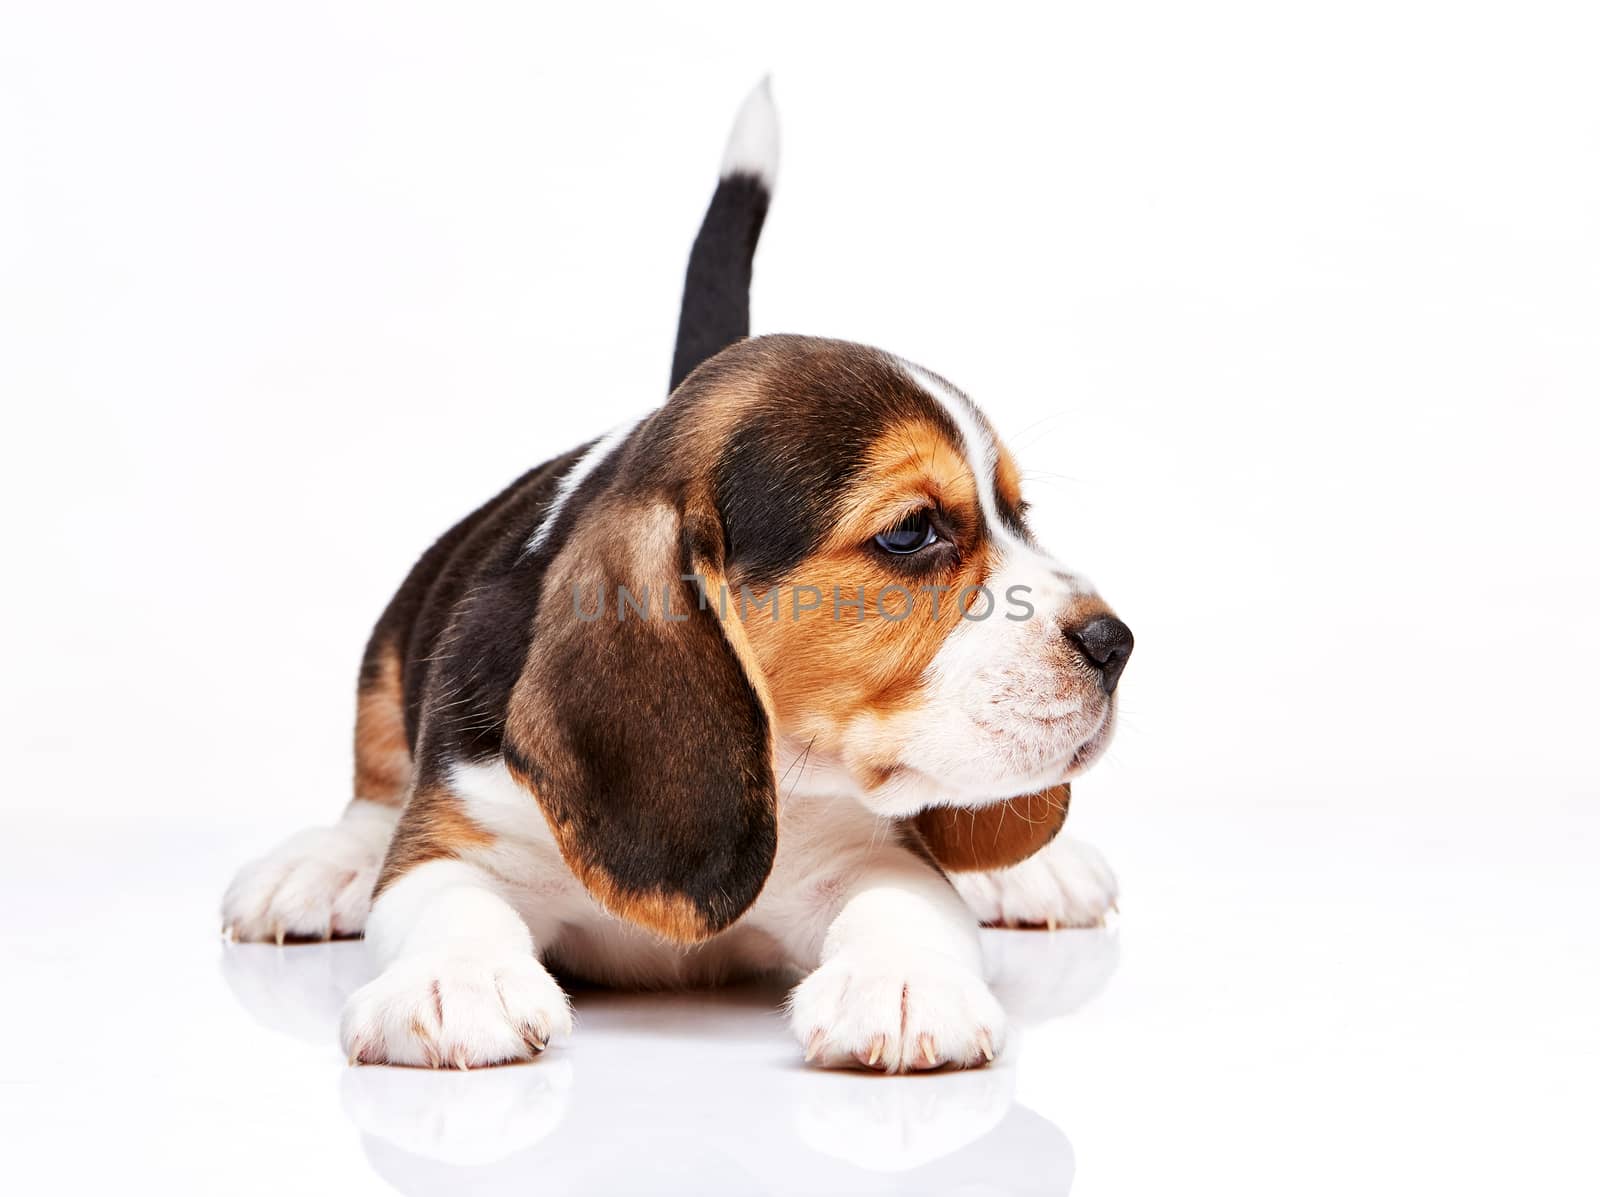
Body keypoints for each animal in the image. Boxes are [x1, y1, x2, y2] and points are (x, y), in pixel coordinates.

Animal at [225, 84, 1132, 1075]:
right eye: (911, 532)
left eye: (1019, 514)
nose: (1116, 642)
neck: (783, 763)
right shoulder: (460, 831)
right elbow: (447, 901)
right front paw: (452, 982)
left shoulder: (871, 853)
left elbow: (901, 904)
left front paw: (902, 985)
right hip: (391, 650)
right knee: (370, 791)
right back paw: (324, 865)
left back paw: (1032, 868)